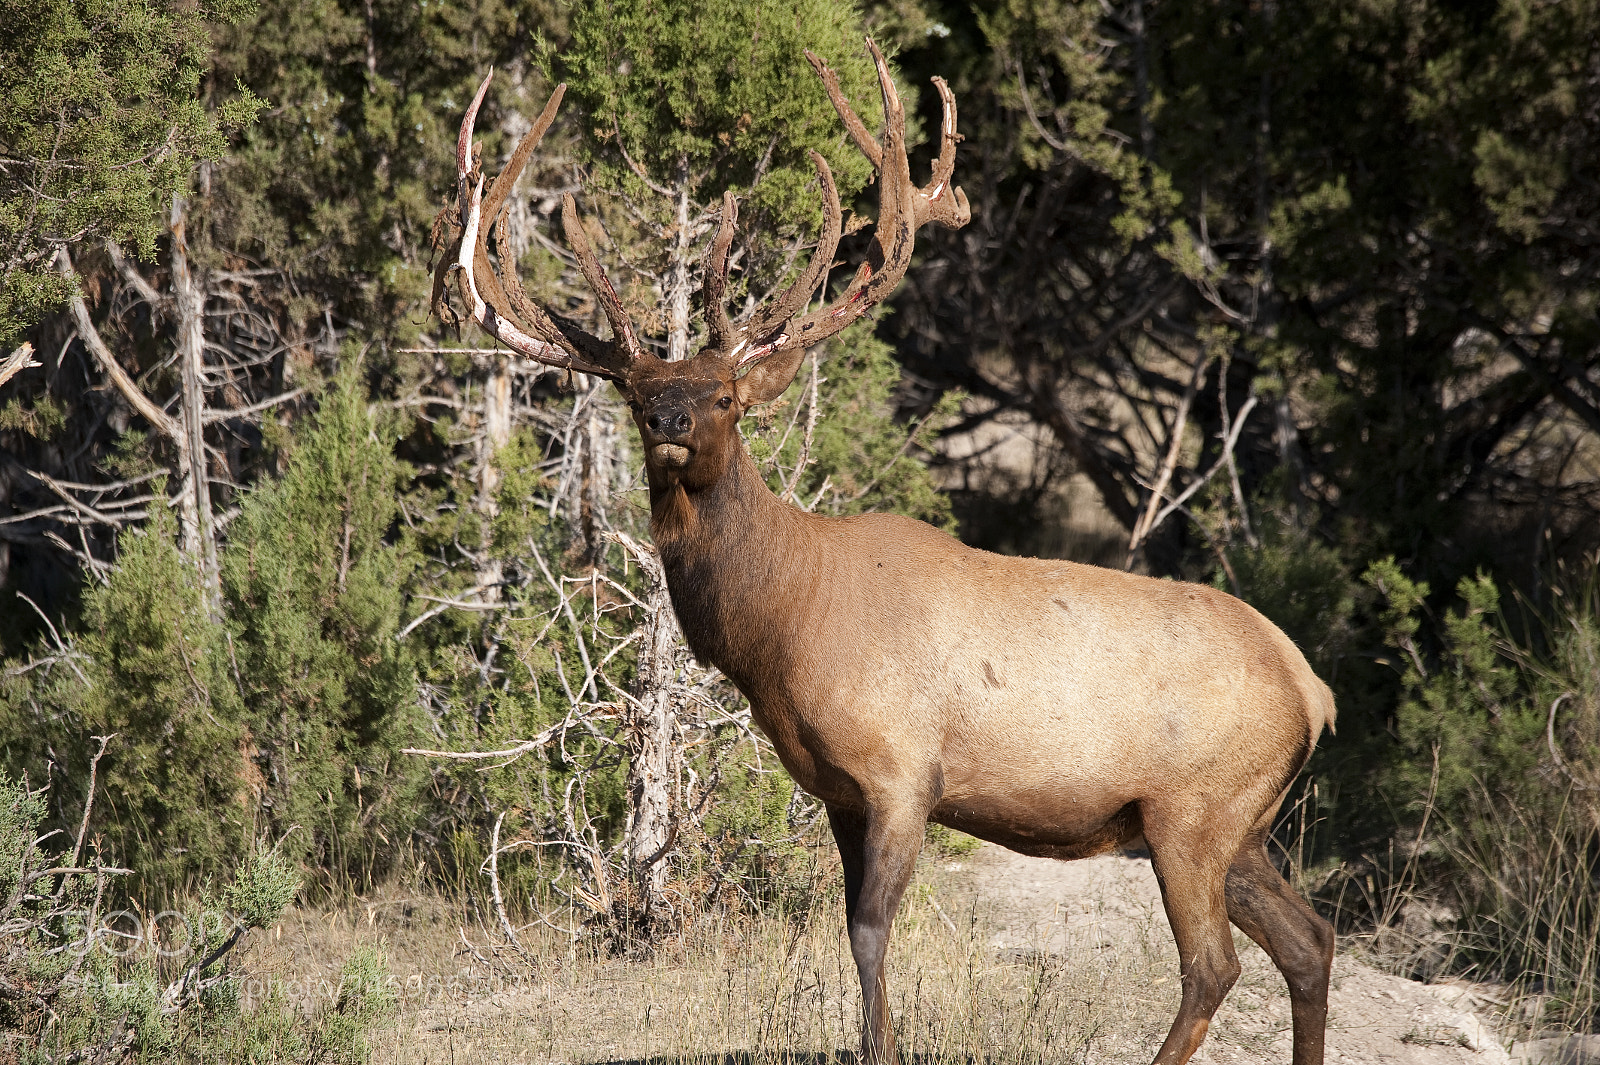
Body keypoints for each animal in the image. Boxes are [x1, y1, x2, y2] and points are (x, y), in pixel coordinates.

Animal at [431, 39, 1337, 1065]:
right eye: (635, 391)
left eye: (725, 396)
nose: (669, 420)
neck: (784, 623)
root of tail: (1314, 689)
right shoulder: (836, 789)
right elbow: (846, 925)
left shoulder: (905, 769)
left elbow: (869, 929)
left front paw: (884, 1044)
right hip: (1240, 825)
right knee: (1309, 939)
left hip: (1194, 810)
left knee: (1215, 964)